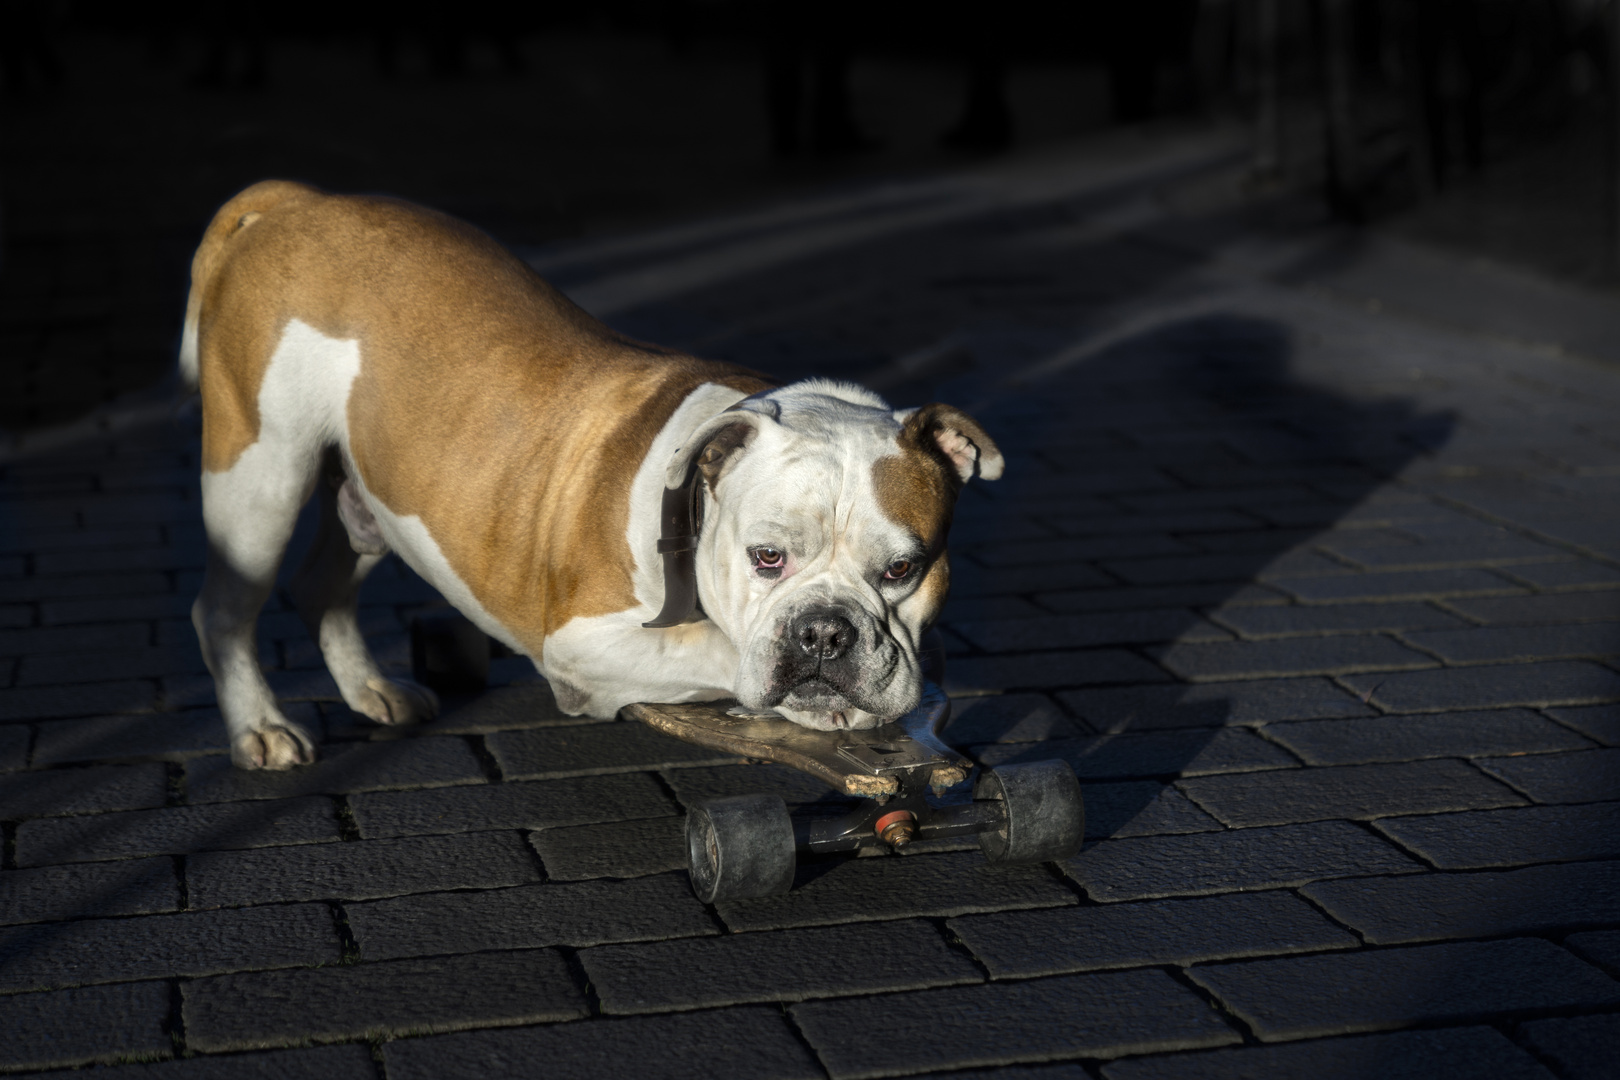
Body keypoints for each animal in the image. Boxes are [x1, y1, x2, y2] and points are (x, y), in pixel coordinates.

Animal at [186, 181, 997, 767]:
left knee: (322, 587)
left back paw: (371, 688)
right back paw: (260, 728)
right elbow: (719, 650)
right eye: (767, 558)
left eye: (903, 569)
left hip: (370, 496)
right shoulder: (582, 642)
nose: (825, 634)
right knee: (224, 607)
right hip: (260, 477)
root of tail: (295, 203)